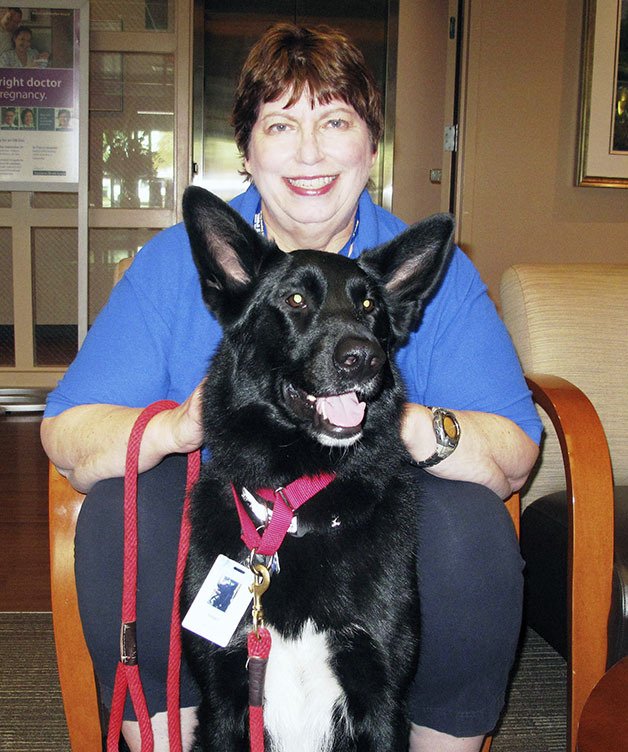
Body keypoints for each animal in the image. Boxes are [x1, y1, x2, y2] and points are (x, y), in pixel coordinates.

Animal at [179, 188, 454, 752]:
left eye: (369, 306)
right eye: (295, 301)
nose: (365, 358)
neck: (294, 514)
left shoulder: (381, 703)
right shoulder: (224, 705)